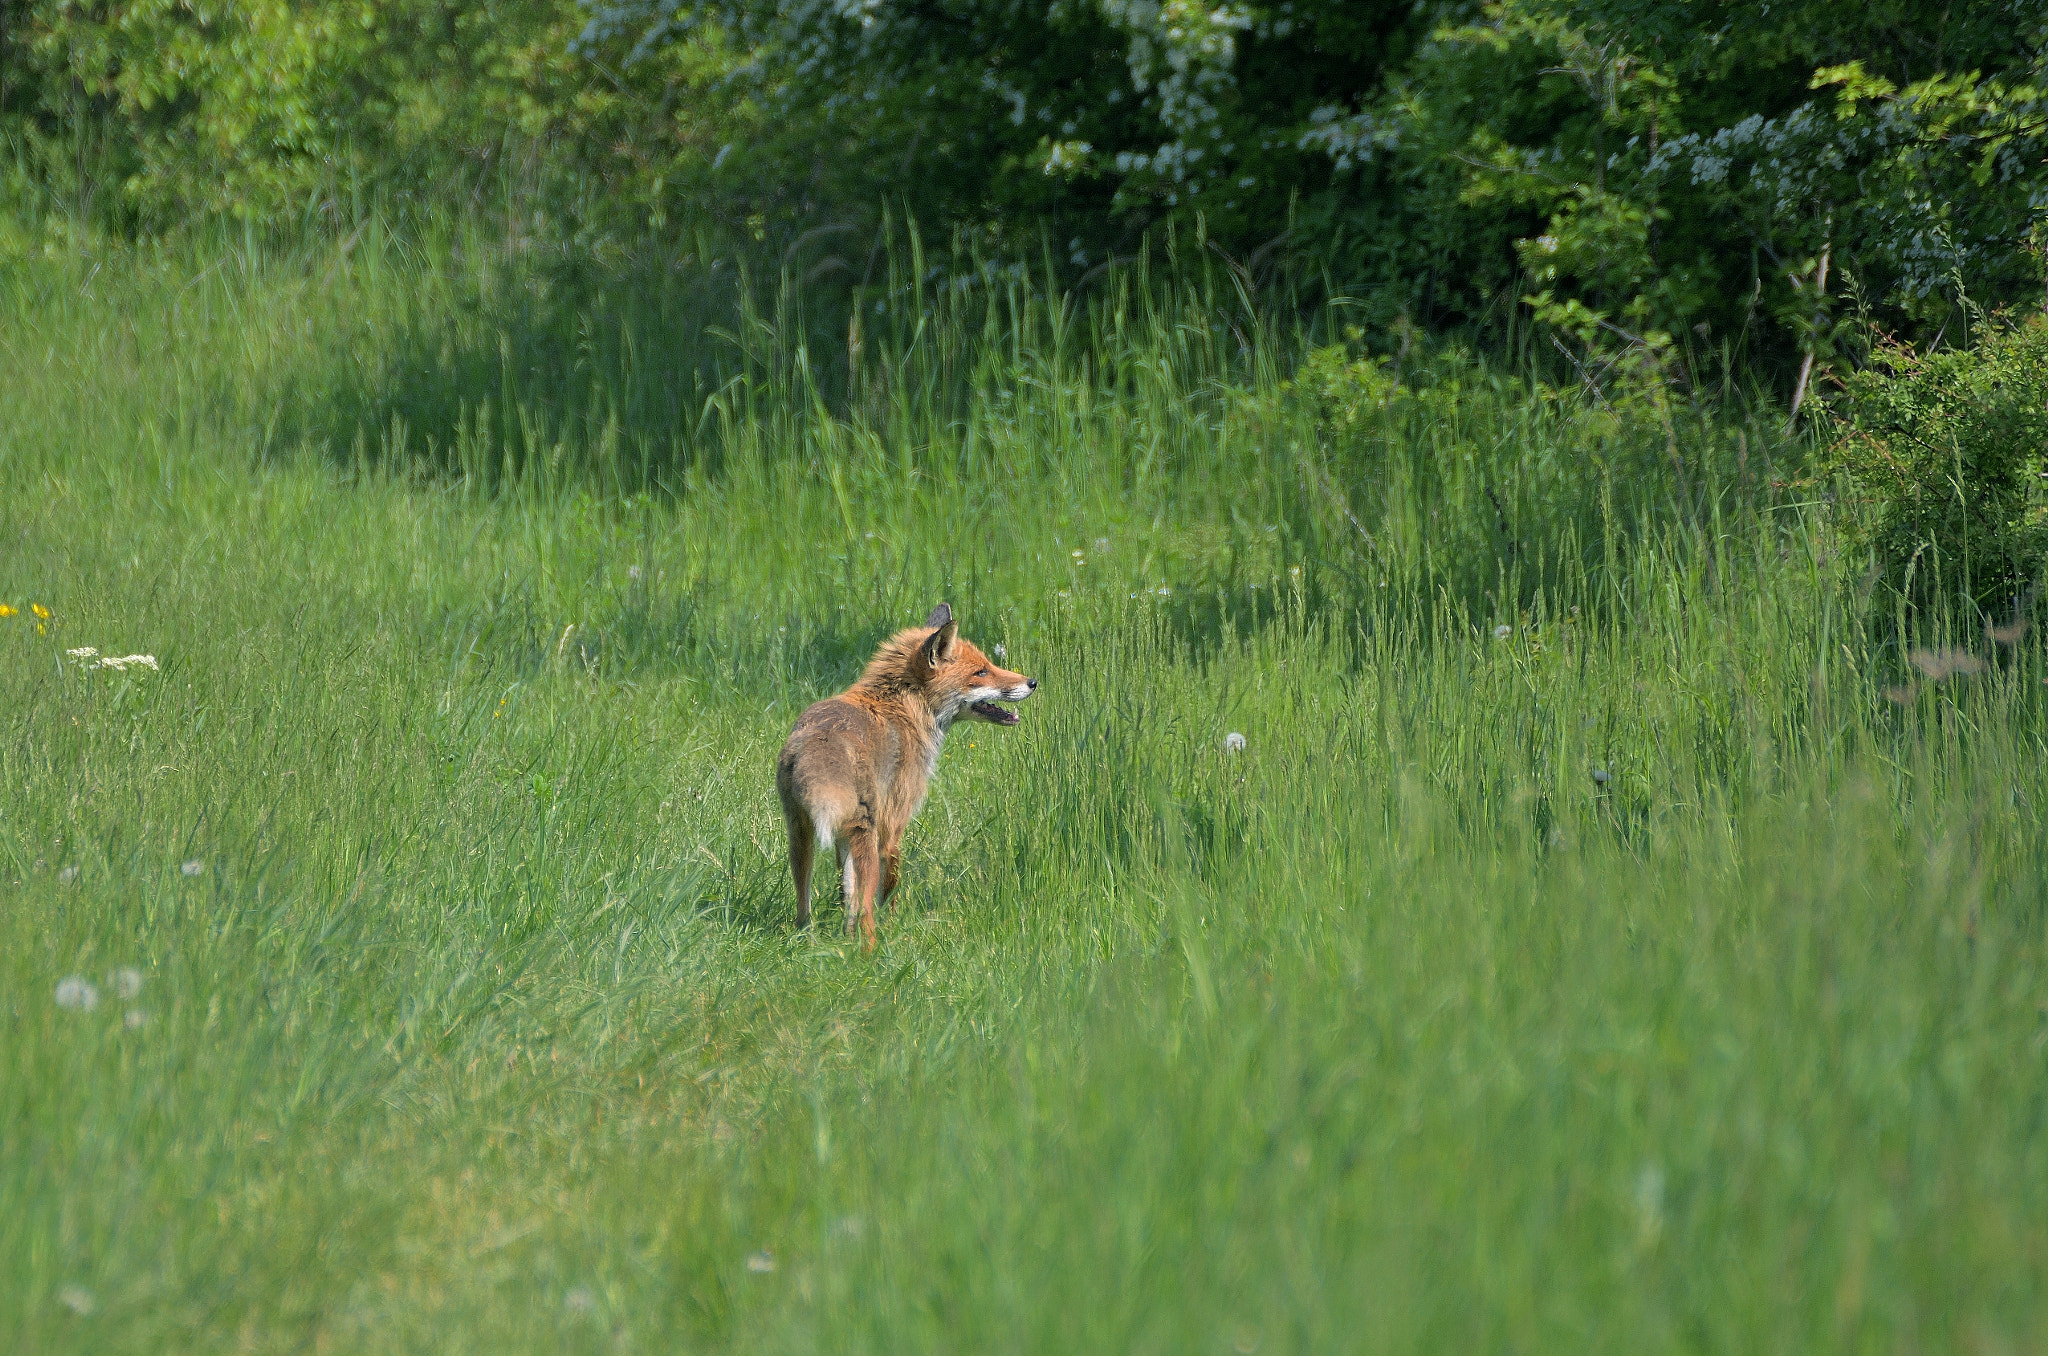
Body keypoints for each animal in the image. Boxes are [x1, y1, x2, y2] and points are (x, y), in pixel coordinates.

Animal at [776, 602, 1036, 946]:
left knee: (805, 906)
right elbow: (888, 889)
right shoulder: (893, 825)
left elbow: (846, 894)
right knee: (867, 911)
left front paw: (845, 937)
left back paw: (809, 941)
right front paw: (894, 923)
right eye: (981, 672)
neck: (904, 708)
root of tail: (819, 742)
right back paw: (870, 950)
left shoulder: (841, 835)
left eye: (988, 665)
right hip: (866, 838)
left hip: (800, 835)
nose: (1033, 682)